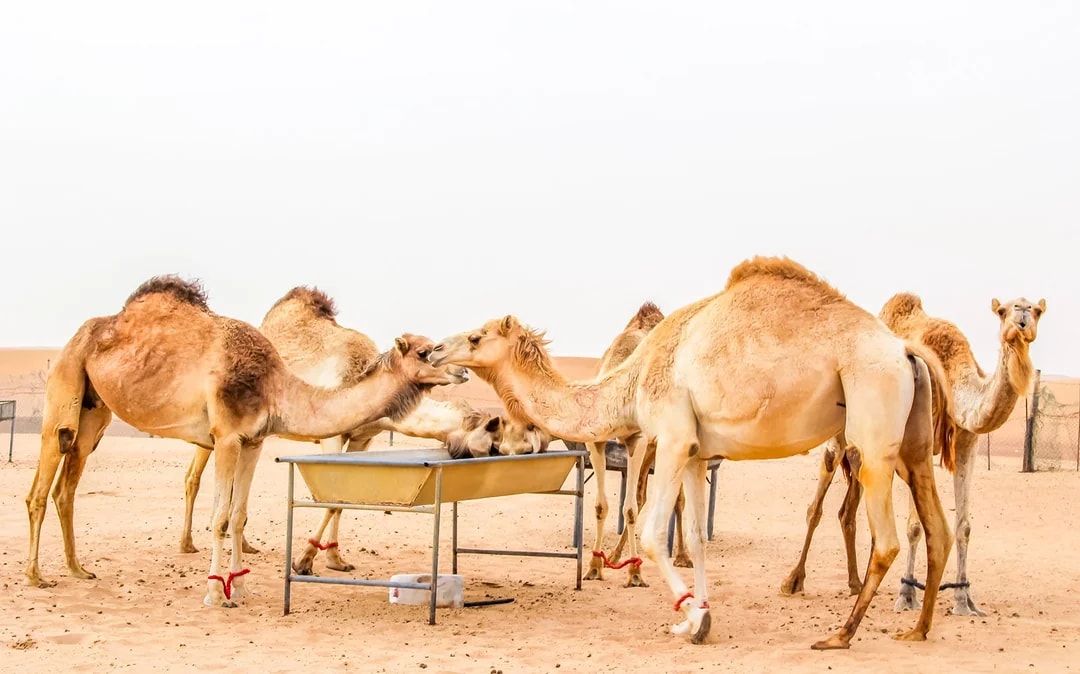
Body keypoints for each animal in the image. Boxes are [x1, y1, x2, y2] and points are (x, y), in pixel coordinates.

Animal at [25, 275, 457, 608]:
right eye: (426, 351)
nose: (459, 372)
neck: (274, 386)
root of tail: (79, 336)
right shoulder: (227, 436)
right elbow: (219, 518)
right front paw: (216, 594)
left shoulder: (253, 441)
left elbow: (237, 515)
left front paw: (243, 587)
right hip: (64, 388)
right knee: (41, 487)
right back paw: (35, 576)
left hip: (94, 413)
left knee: (66, 488)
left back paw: (77, 568)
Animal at [429, 256, 958, 649]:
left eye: (475, 337)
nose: (434, 350)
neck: (633, 379)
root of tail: (905, 349)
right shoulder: (698, 453)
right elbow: (699, 539)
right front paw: (702, 613)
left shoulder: (671, 437)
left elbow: (650, 533)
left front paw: (688, 618)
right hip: (912, 443)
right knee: (937, 527)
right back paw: (918, 628)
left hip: (872, 423)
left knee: (887, 539)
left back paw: (841, 634)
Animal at [781, 292, 1045, 618]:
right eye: (1002, 311)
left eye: (1037, 310)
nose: (1022, 317)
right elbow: (915, 526)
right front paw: (907, 595)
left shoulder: (967, 443)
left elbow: (964, 526)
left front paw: (964, 600)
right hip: (836, 437)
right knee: (815, 507)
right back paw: (794, 581)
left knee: (848, 512)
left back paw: (856, 583)